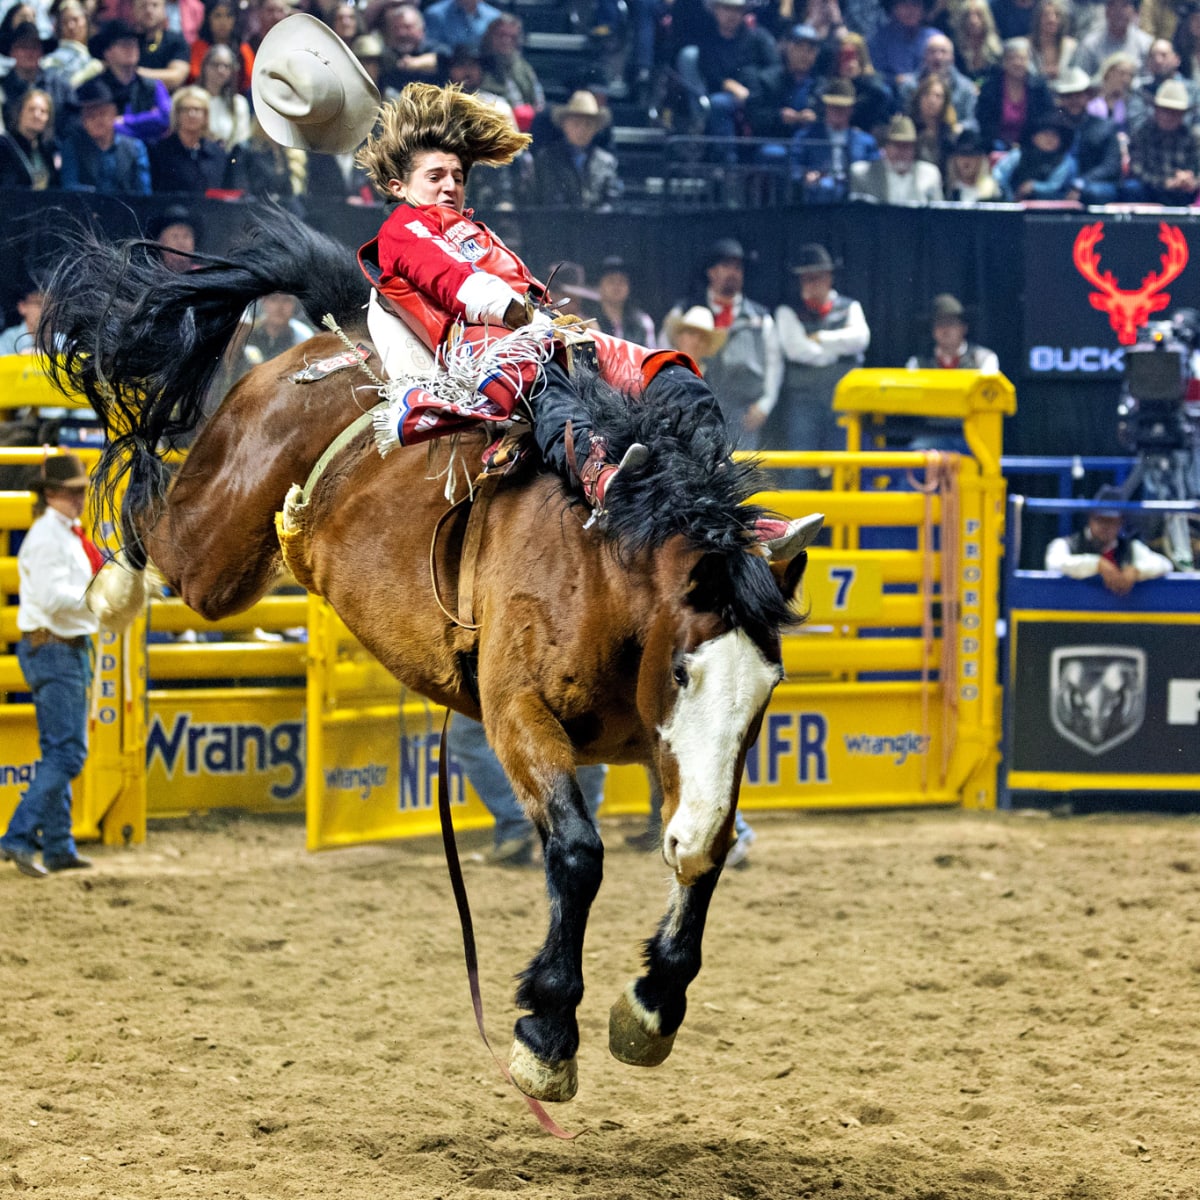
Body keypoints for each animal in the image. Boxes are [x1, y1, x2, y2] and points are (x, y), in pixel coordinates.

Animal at [39, 208, 806, 1104]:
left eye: (767, 691)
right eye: (684, 669)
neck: (603, 564)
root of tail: (333, 332)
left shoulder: (668, 749)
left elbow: (710, 847)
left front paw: (652, 1005)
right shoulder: (517, 715)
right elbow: (577, 854)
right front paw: (547, 1033)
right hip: (213, 553)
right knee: (152, 516)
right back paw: (109, 590)